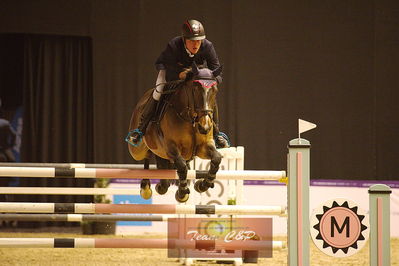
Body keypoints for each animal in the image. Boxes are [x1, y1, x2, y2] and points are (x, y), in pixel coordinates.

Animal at [127, 62, 223, 202]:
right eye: (195, 89)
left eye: (215, 91)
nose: (204, 127)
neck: (190, 119)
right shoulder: (170, 147)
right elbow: (181, 165)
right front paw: (182, 193)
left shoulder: (203, 147)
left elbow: (216, 159)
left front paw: (203, 185)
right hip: (137, 150)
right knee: (145, 155)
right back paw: (146, 187)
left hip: (161, 153)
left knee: (162, 171)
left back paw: (161, 186)